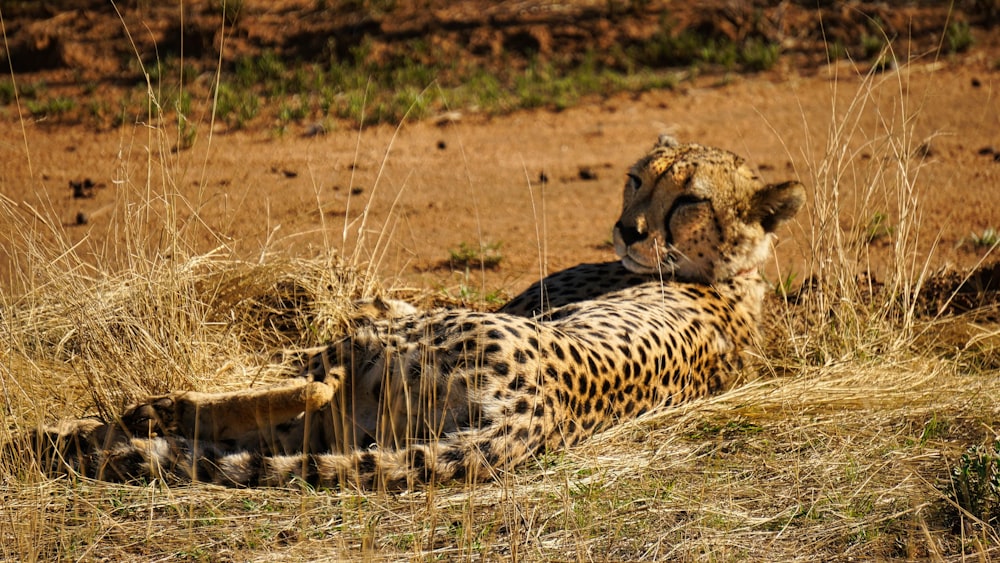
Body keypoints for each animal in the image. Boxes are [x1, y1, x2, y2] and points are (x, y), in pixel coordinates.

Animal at [19, 137, 808, 490]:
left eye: (690, 200)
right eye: (638, 179)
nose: (628, 230)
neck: (734, 273)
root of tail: (536, 414)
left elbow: (371, 312)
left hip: (383, 359)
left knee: (310, 383)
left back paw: (124, 416)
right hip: (370, 422)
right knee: (285, 422)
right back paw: (82, 436)